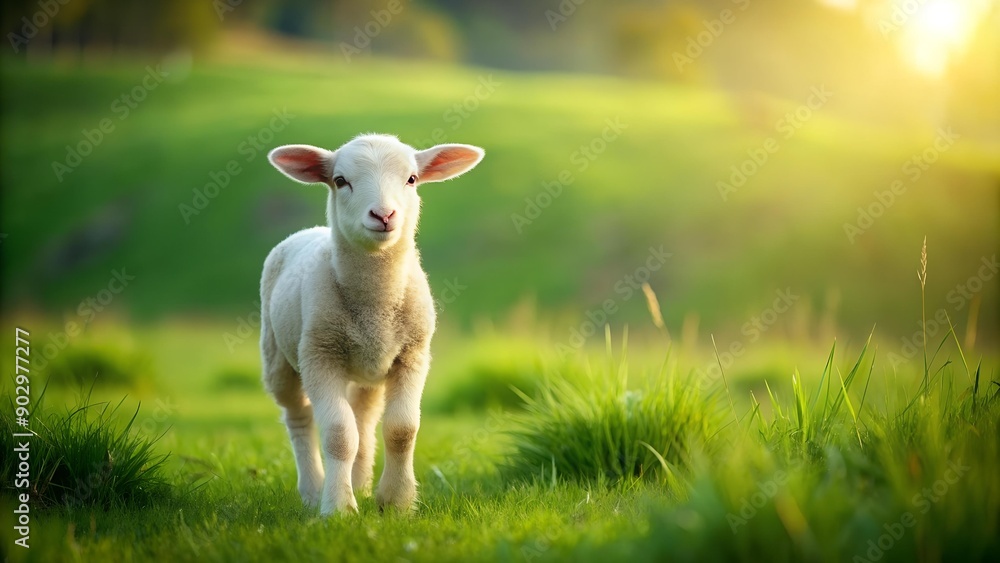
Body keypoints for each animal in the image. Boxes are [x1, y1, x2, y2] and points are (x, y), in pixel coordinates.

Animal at [260, 134, 484, 515]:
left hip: (369, 372)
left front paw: (395, 502)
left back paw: (361, 485)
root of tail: (309, 231)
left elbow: (401, 430)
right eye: (340, 180)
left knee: (363, 420)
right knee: (299, 417)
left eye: (412, 179)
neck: (374, 303)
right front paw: (338, 508)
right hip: (278, 356)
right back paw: (313, 491)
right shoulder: (320, 356)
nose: (383, 215)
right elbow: (338, 434)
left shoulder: (412, 355)